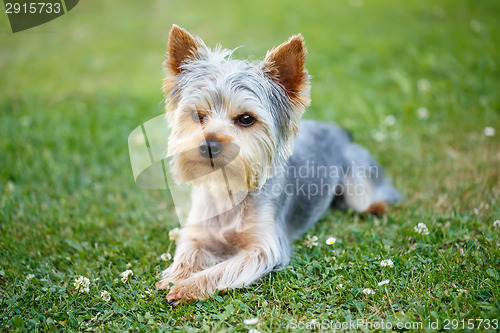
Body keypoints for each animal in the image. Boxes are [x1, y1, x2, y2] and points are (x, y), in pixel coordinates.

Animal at [154, 24, 400, 304]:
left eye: (246, 119)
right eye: (197, 115)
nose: (209, 145)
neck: (231, 189)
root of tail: (339, 131)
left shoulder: (264, 249)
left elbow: (224, 269)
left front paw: (188, 286)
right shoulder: (198, 232)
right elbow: (188, 252)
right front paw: (175, 277)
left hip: (357, 172)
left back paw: (377, 207)